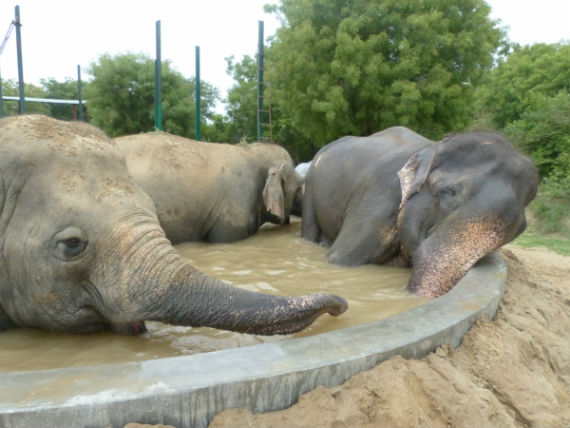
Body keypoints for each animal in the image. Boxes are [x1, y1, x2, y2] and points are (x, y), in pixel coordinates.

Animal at [302, 126, 536, 298]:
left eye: (520, 229)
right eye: (449, 192)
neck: (435, 145)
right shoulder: (379, 196)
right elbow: (338, 258)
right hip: (311, 183)